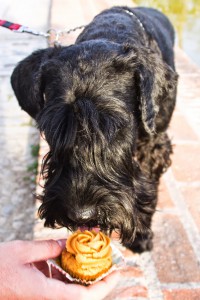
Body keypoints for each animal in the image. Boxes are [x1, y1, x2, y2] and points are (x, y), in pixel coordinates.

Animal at [10, 5, 177, 252]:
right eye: (54, 128)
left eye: (116, 127)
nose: (82, 216)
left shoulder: (153, 144)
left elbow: (149, 185)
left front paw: (141, 234)